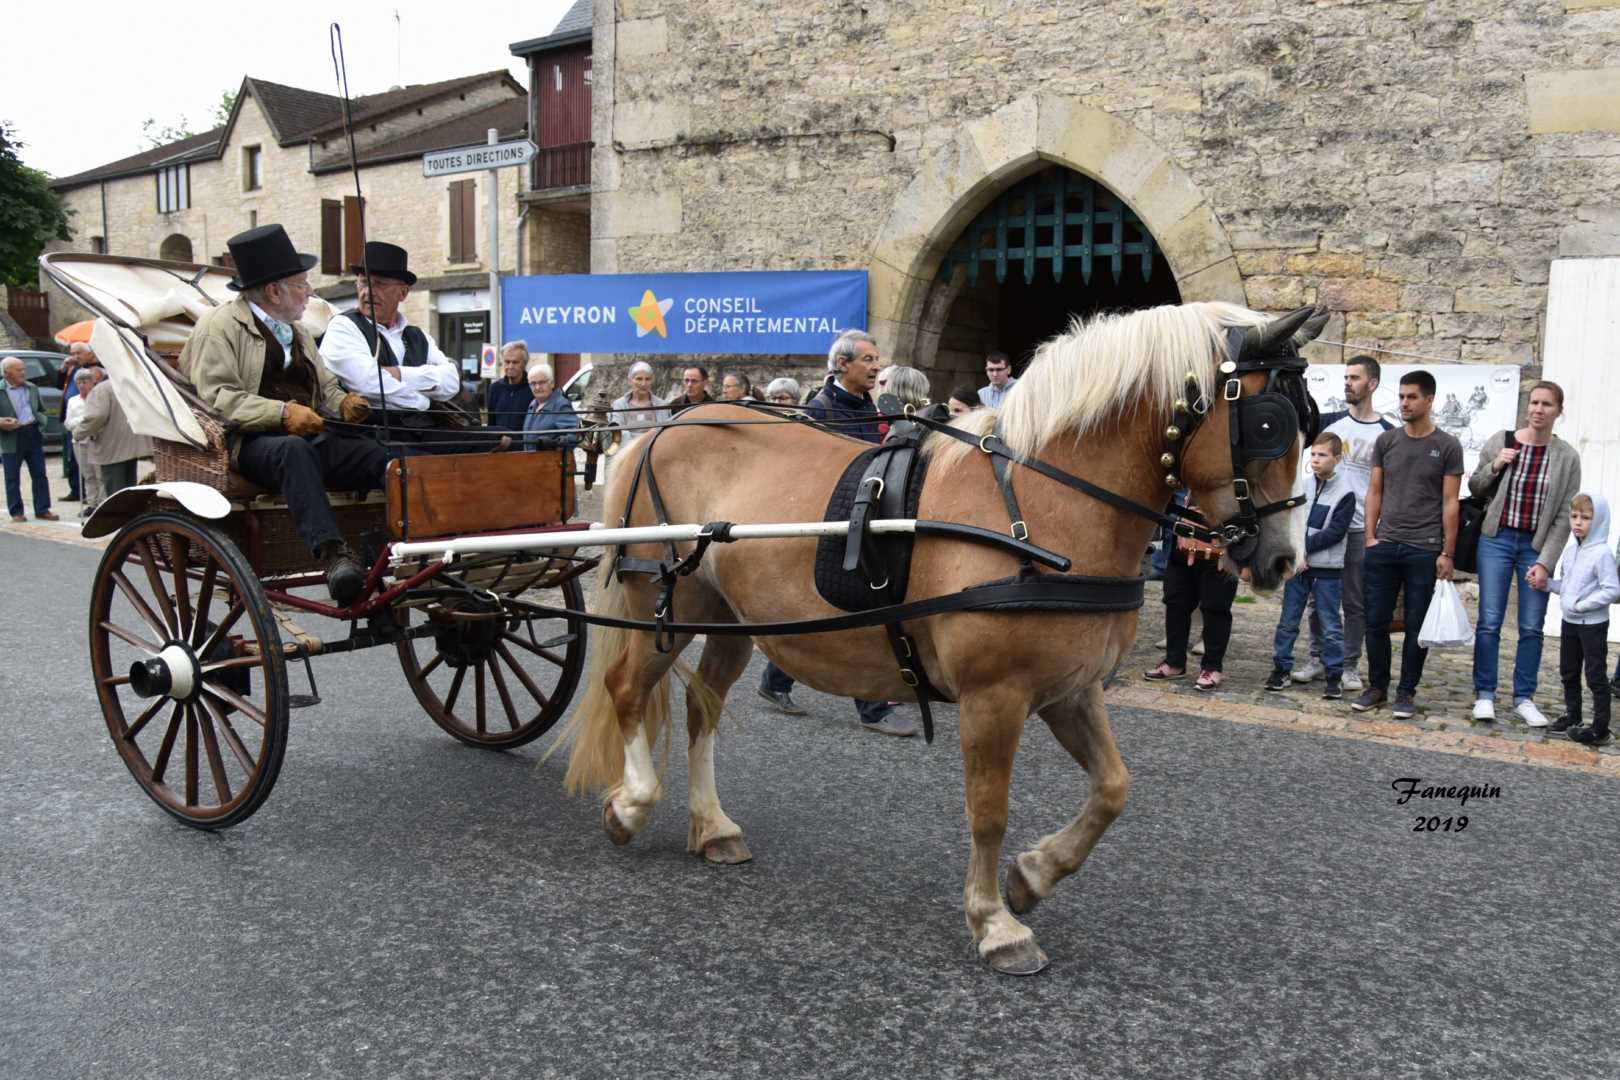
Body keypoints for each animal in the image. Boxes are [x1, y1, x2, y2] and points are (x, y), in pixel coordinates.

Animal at [560, 299, 1328, 977]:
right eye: (1269, 422)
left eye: (1312, 421)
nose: (1284, 561)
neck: (1041, 507)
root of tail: (662, 429)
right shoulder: (997, 695)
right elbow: (988, 810)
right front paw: (995, 924)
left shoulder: (1071, 689)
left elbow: (1113, 788)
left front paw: (1034, 875)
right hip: (668, 606)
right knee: (626, 688)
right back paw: (632, 803)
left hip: (732, 619)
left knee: (704, 708)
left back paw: (713, 826)